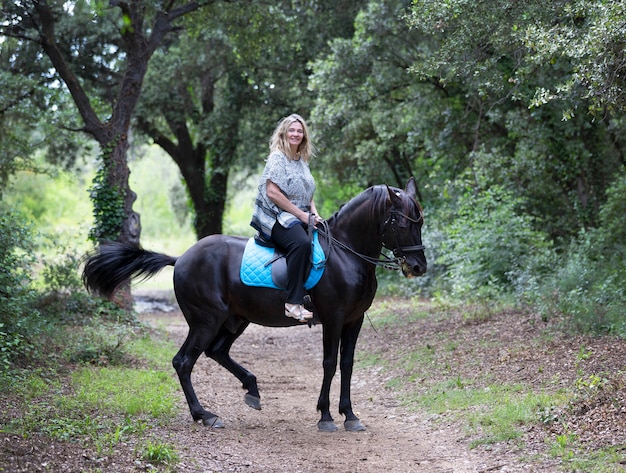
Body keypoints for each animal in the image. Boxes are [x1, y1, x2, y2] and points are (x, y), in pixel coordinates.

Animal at [81, 177, 424, 432]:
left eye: (419, 222)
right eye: (403, 224)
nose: (418, 266)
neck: (346, 254)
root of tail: (182, 258)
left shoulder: (355, 320)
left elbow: (347, 364)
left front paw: (350, 415)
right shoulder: (334, 318)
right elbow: (329, 364)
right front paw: (326, 416)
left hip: (235, 319)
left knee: (216, 352)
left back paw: (252, 389)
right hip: (205, 320)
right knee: (184, 362)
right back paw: (205, 415)